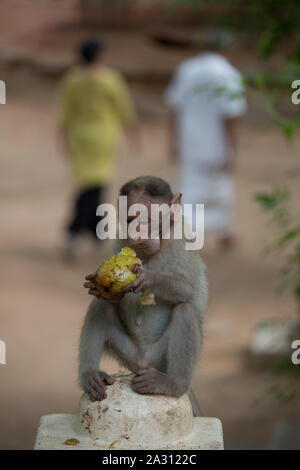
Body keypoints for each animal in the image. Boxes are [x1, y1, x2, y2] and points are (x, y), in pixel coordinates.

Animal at [78, 175, 207, 414]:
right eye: (130, 220)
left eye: (147, 220)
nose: (136, 234)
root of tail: (142, 363)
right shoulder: (120, 240)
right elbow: (109, 300)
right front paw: (99, 287)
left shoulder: (180, 240)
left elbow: (190, 290)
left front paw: (148, 278)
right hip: (129, 354)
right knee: (99, 307)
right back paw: (90, 376)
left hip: (159, 358)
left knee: (185, 309)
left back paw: (173, 384)